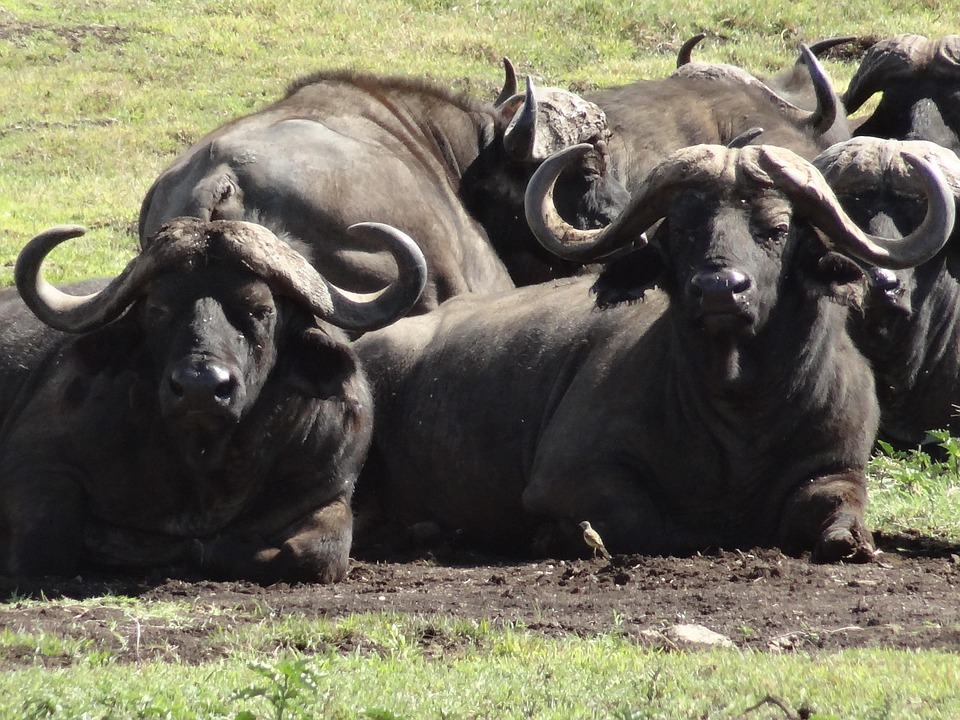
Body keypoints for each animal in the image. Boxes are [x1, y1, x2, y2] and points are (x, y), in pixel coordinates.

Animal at [0, 216, 426, 583]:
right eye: (158, 309)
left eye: (261, 310)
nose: (200, 387)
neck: (205, 469)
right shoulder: (38, 465)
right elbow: (47, 544)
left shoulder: (329, 488)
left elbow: (317, 554)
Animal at [352, 142, 953, 562]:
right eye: (682, 228)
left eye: (777, 228)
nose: (720, 289)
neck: (741, 417)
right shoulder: (568, 476)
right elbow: (643, 523)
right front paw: (558, 537)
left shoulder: (839, 467)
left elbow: (842, 518)